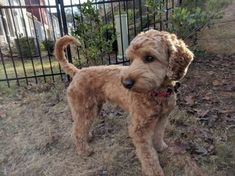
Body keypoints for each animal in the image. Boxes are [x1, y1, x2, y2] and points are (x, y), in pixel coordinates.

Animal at [54, 29, 193, 176]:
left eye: (149, 58)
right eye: (131, 59)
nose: (126, 84)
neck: (157, 93)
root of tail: (78, 72)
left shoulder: (162, 117)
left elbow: (159, 134)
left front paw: (160, 147)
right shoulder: (139, 128)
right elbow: (148, 154)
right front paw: (154, 171)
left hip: (93, 108)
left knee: (82, 126)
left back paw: (87, 138)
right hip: (84, 108)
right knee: (77, 130)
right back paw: (84, 150)